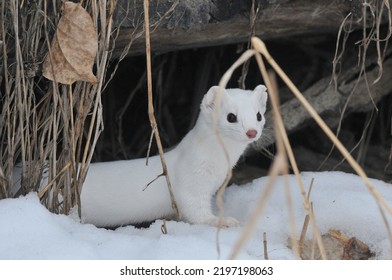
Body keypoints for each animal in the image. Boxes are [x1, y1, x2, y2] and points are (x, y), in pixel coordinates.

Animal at [81, 85, 268, 228]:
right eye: (231, 116)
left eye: (259, 115)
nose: (252, 132)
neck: (218, 165)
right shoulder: (190, 181)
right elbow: (195, 210)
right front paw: (223, 221)